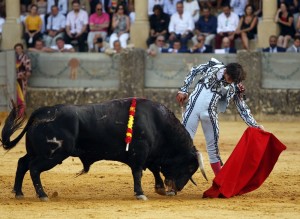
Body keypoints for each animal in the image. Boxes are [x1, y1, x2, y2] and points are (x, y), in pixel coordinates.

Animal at [0, 98, 206, 201]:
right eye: (190, 167)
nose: (177, 189)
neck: (157, 122)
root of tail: (41, 112)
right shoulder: (139, 153)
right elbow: (138, 172)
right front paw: (140, 193)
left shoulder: (150, 155)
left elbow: (154, 169)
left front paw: (160, 188)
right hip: (52, 154)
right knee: (34, 168)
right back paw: (42, 195)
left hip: (36, 152)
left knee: (22, 163)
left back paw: (18, 193)